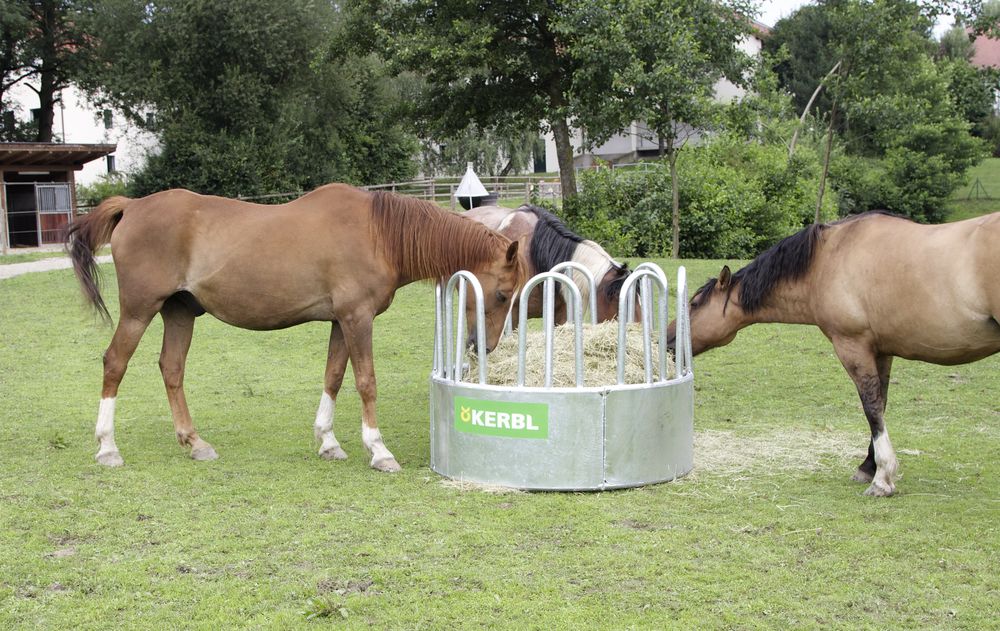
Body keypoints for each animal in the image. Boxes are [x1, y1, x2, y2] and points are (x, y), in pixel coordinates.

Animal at [67, 183, 528, 470]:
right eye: (503, 294)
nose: (484, 346)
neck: (378, 234)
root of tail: (133, 205)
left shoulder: (341, 322)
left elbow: (334, 376)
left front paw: (328, 441)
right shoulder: (357, 319)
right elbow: (366, 381)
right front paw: (378, 450)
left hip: (179, 313)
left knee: (172, 369)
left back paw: (194, 442)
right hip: (139, 311)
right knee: (115, 364)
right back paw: (107, 447)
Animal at [668, 212, 1000, 498]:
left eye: (694, 303)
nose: (669, 341)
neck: (825, 261)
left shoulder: (852, 346)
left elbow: (871, 407)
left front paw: (882, 477)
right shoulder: (881, 352)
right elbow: (881, 404)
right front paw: (868, 466)